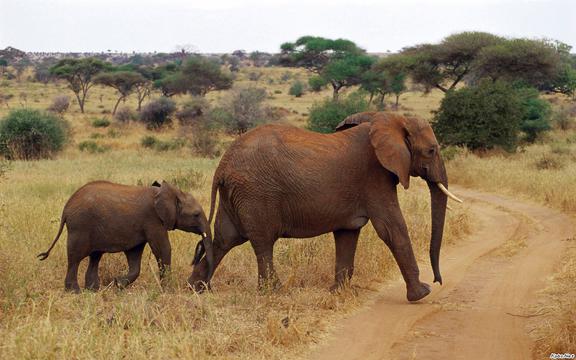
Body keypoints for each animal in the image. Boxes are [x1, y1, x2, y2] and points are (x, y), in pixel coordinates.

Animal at [37, 180, 214, 292]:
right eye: (196, 215)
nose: (203, 287)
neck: (168, 192)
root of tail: (66, 209)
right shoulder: (153, 220)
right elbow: (163, 249)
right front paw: (168, 290)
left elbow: (134, 255)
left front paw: (117, 284)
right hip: (80, 227)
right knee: (75, 257)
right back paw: (74, 292)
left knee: (95, 257)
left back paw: (93, 290)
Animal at [191, 112, 462, 300]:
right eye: (431, 150)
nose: (438, 281)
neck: (389, 118)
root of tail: (222, 165)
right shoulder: (375, 178)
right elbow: (392, 229)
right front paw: (421, 294)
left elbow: (347, 234)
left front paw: (338, 292)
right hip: (256, 193)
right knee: (262, 242)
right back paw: (274, 292)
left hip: (235, 195)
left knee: (225, 239)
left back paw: (195, 288)